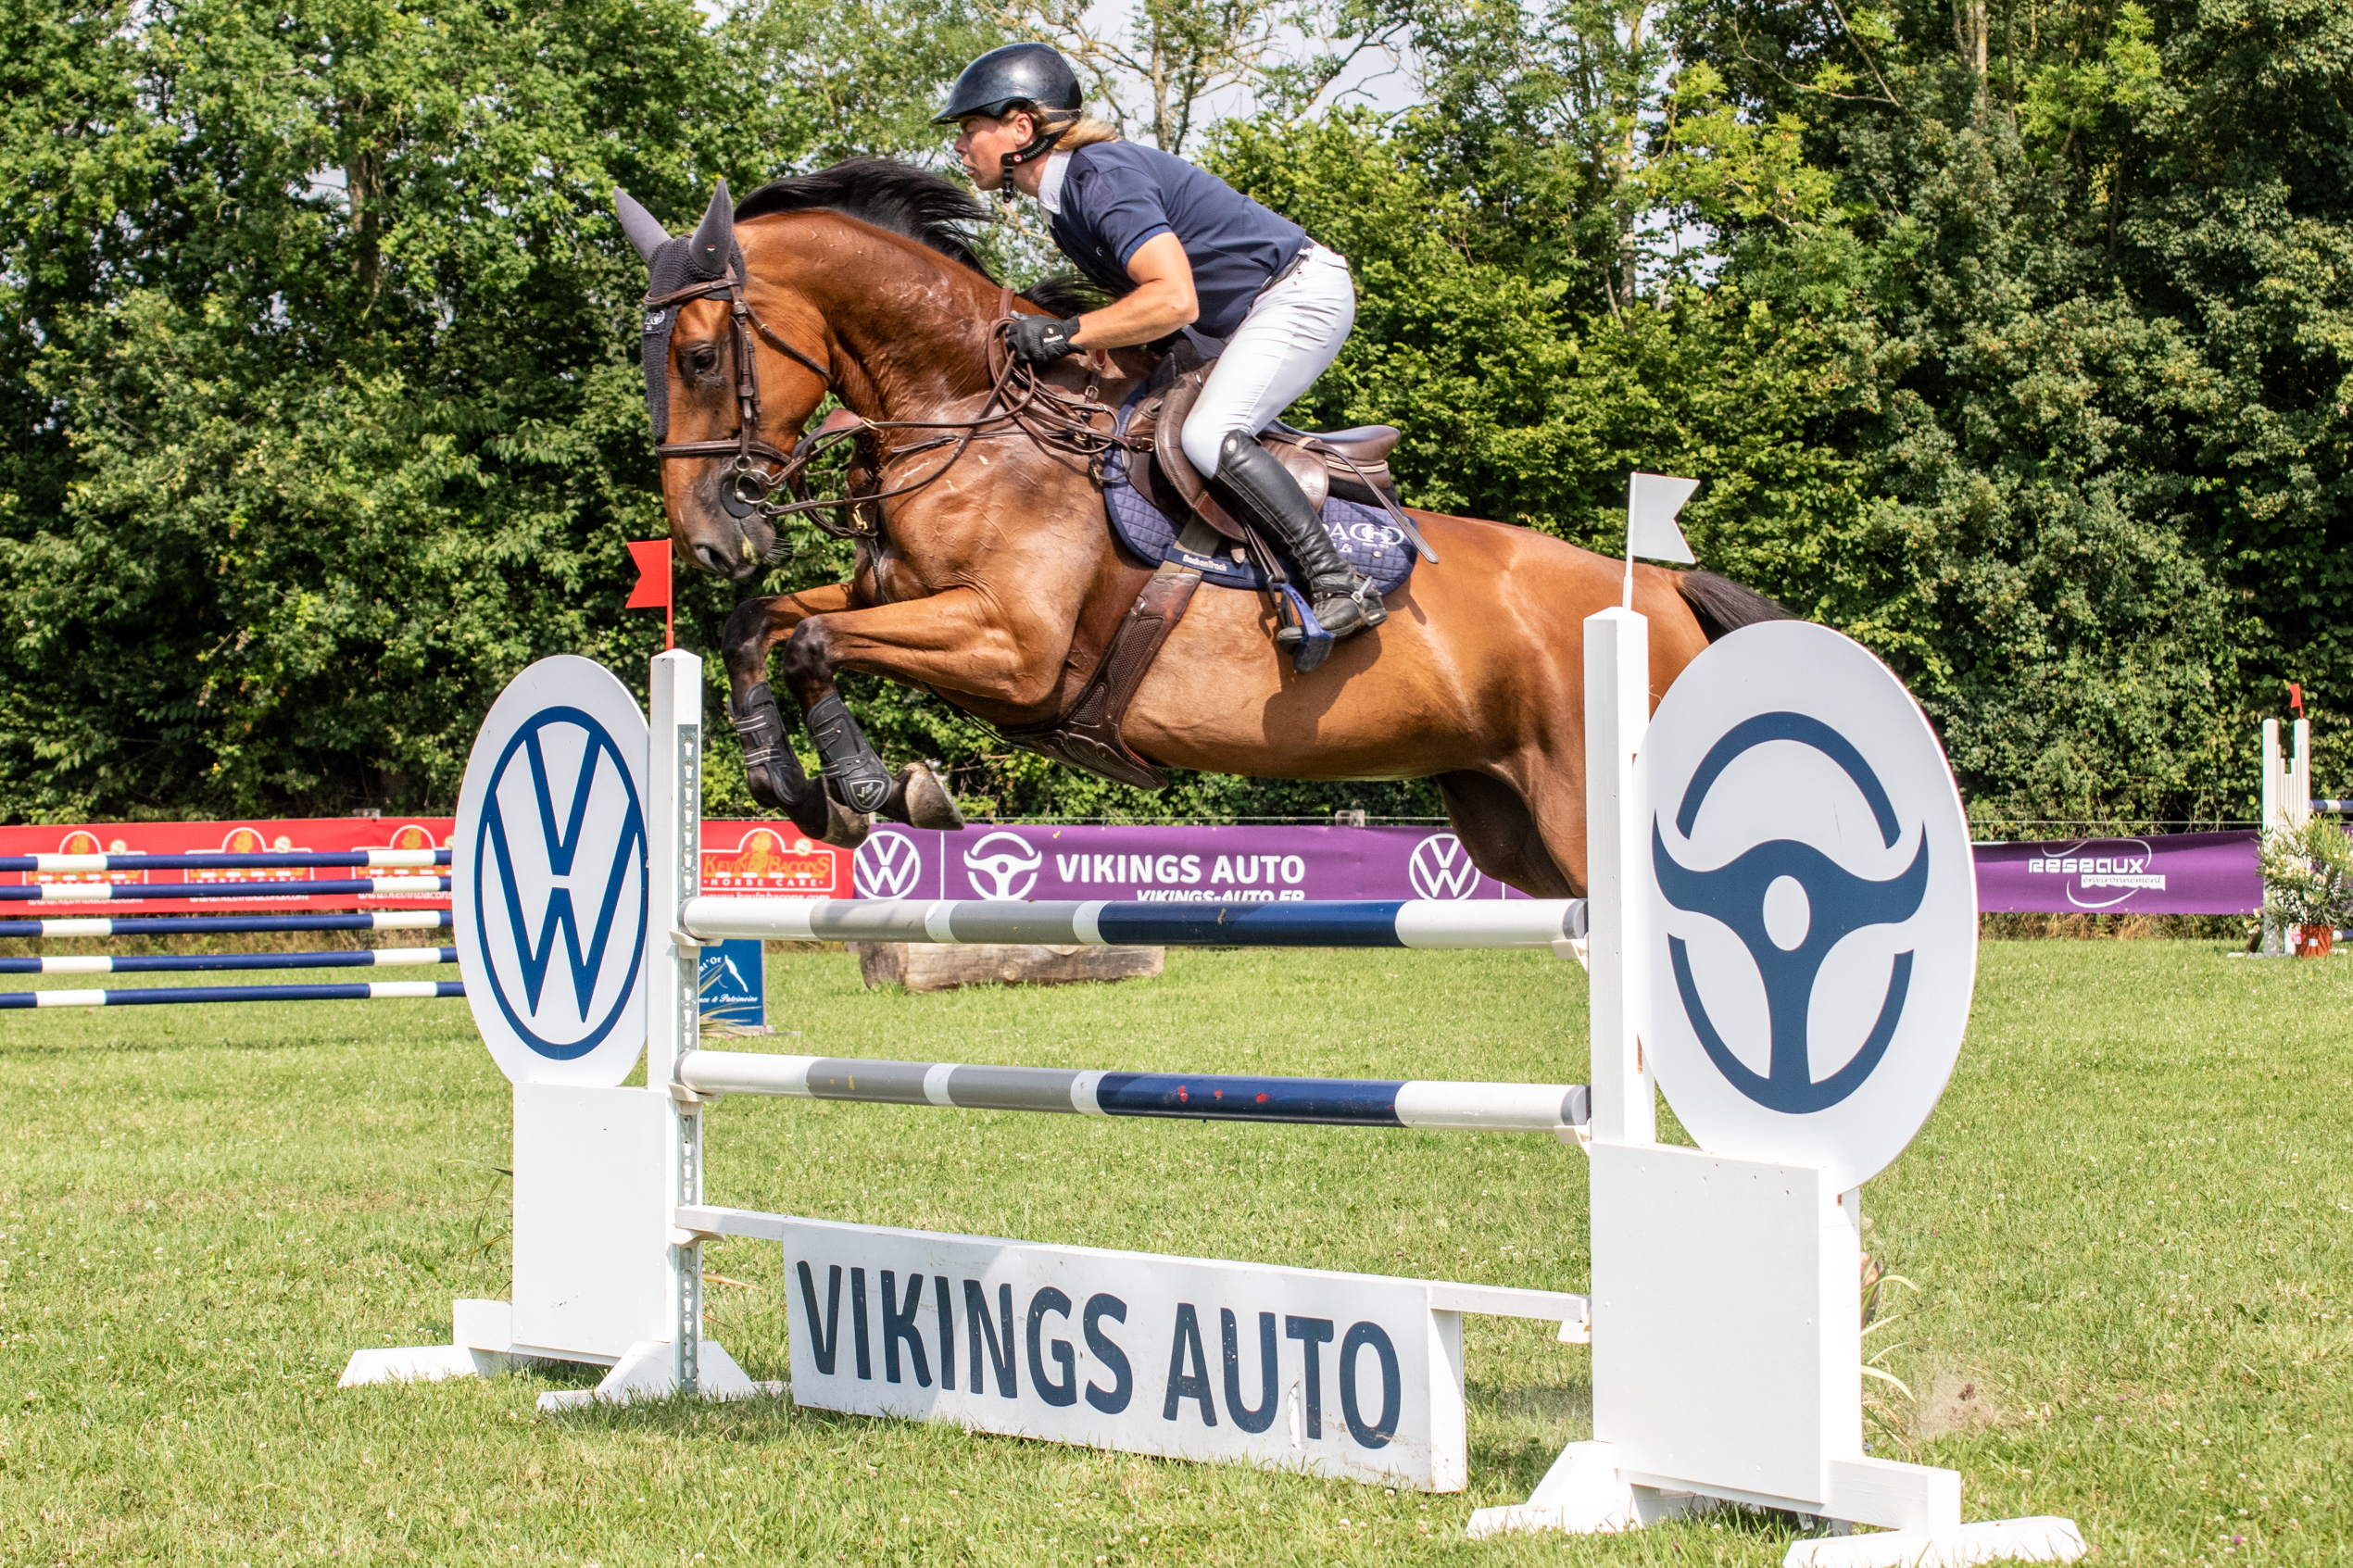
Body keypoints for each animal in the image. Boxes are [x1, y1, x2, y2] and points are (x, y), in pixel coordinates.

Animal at [616, 160, 1788, 898]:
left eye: (701, 356)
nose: (710, 538)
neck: (967, 414)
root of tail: (1662, 593)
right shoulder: (897, 597)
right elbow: (761, 626)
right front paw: (790, 785)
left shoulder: (1009, 650)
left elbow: (814, 640)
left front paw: (872, 787)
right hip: (1517, 830)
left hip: (1585, 817)